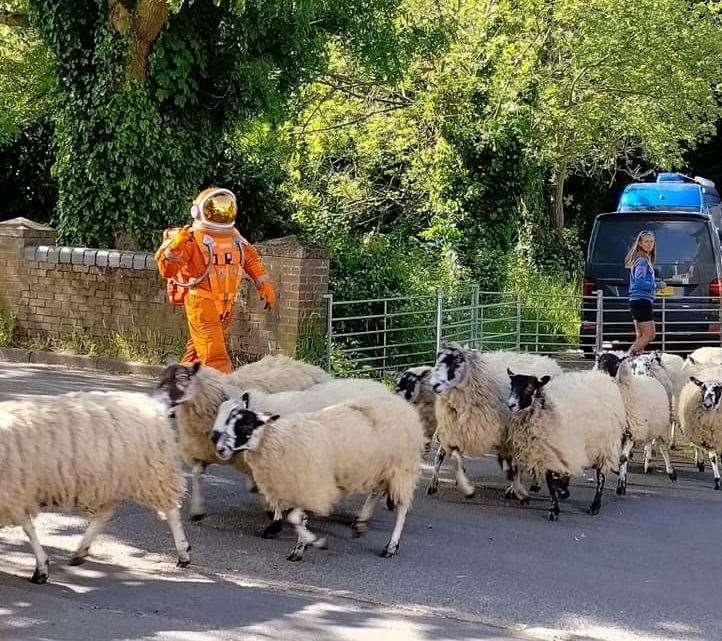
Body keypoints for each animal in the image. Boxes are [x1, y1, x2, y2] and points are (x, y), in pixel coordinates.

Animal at [0, 388, 190, 584]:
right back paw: (80, 552)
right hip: (113, 482)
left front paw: (41, 569)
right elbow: (28, 527)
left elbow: (28, 529)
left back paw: (183, 553)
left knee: (171, 510)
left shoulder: (12, 491)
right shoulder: (15, 493)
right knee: (104, 515)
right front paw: (42, 567)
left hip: (152, 473)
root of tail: (153, 406)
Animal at [154, 352, 332, 524]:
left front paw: (269, 507)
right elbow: (197, 476)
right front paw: (198, 510)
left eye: (182, 378)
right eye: (162, 378)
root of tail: (309, 366)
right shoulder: (198, 452)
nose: (159, 401)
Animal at [208, 392, 422, 556]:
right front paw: (294, 540)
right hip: (381, 467)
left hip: (402, 468)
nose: (219, 448)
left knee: (402, 507)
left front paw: (310, 543)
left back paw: (391, 546)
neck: (280, 439)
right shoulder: (290, 483)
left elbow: (295, 518)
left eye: (245, 425)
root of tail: (403, 405)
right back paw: (360, 524)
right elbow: (291, 515)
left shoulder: (312, 486)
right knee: (376, 492)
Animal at [428, 342, 564, 502]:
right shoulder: (454, 429)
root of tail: (550, 361)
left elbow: (514, 465)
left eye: (457, 362)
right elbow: (445, 457)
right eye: (438, 359)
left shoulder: (509, 434)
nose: (434, 385)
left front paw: (514, 489)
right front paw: (439, 485)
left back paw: (534, 484)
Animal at [500, 370, 624, 520]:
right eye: (512, 385)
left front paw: (555, 508)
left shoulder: (556, 449)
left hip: (604, 445)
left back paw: (595, 506)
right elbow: (552, 480)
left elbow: (552, 481)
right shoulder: (549, 452)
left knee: (601, 476)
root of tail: (603, 377)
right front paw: (559, 498)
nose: (510, 404)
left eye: (530, 387)